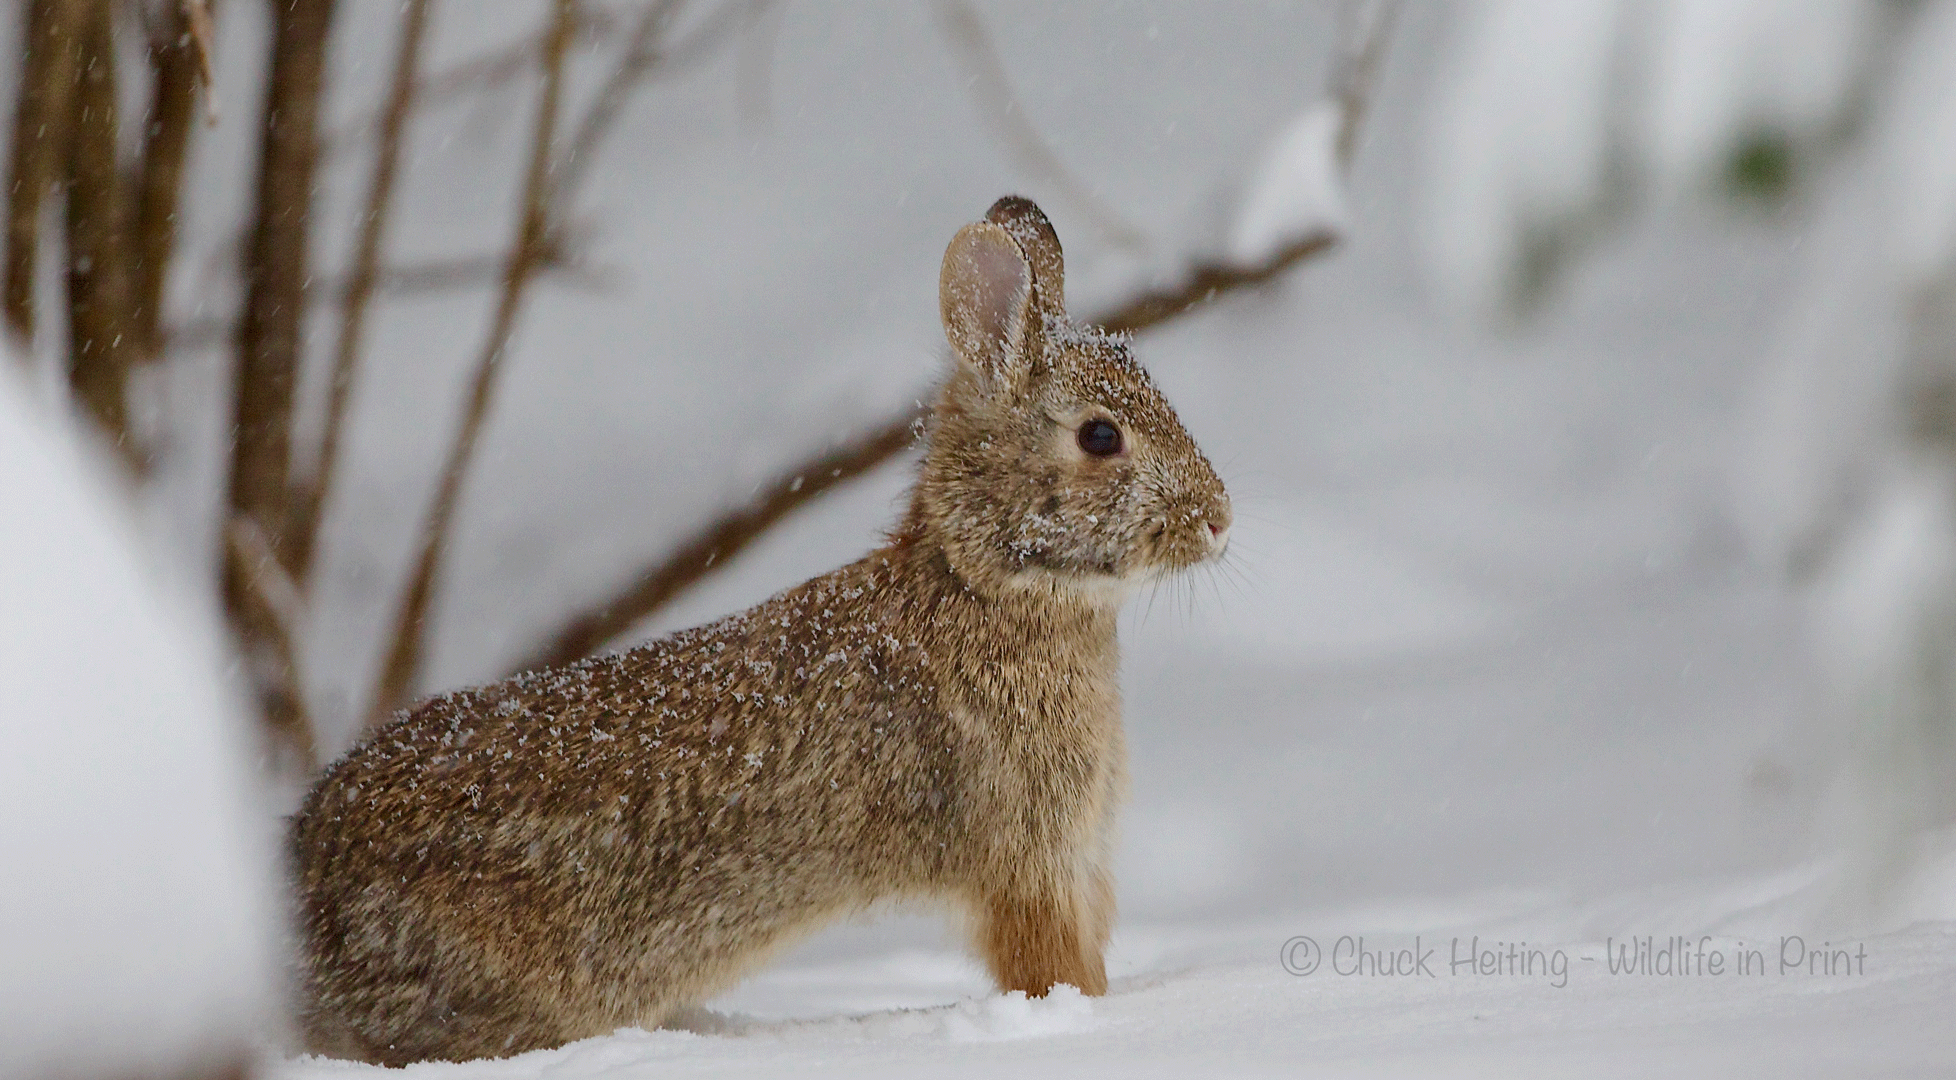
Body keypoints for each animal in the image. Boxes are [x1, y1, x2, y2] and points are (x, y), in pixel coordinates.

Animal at [287, 196, 1233, 1064]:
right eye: (1101, 437)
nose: (1220, 520)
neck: (985, 587)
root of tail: (298, 900)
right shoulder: (1028, 862)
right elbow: (1053, 968)